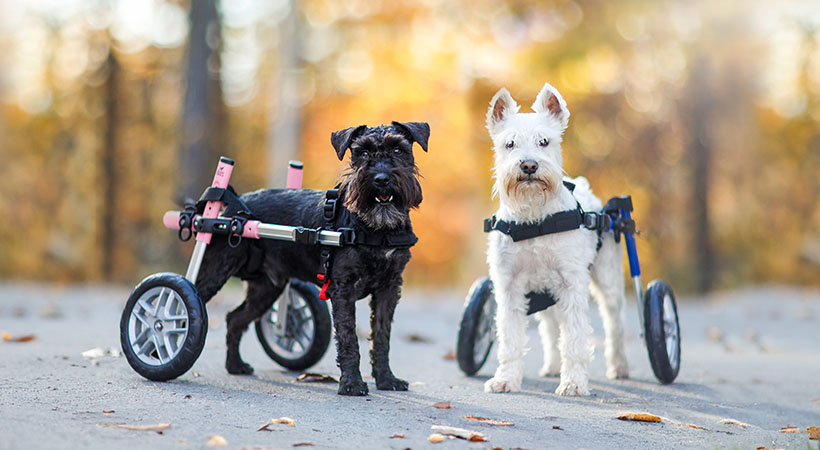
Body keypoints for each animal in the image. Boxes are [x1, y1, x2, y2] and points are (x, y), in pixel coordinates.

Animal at [196, 121, 432, 396]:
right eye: (362, 152)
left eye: (398, 149)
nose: (381, 178)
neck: (377, 230)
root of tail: (235, 207)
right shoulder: (343, 289)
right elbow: (349, 337)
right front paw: (352, 384)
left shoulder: (389, 289)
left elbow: (382, 336)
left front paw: (386, 379)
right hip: (215, 270)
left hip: (266, 289)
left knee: (235, 319)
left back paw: (235, 366)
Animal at [480, 82, 628, 396]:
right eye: (510, 144)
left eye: (544, 141)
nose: (528, 166)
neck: (534, 219)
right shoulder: (509, 286)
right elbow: (510, 339)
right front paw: (505, 379)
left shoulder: (571, 284)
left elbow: (574, 338)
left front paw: (573, 383)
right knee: (549, 327)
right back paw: (551, 366)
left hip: (607, 280)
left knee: (615, 323)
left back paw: (619, 366)